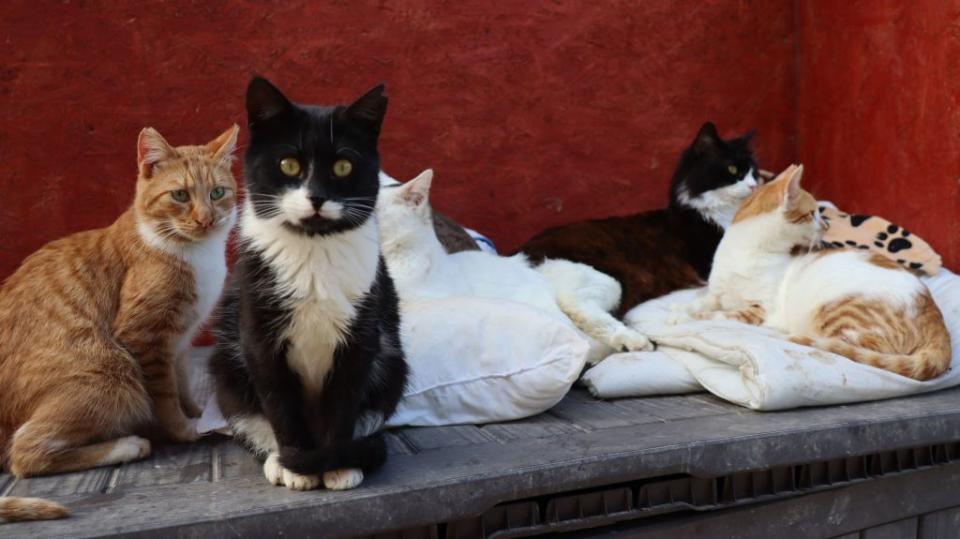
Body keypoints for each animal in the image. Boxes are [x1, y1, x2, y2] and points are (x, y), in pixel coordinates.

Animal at [0, 124, 239, 520]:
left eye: (217, 193)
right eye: (179, 195)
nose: (206, 219)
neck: (194, 252)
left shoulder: (180, 341)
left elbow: (183, 383)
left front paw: (197, 412)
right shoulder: (145, 337)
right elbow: (165, 394)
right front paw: (184, 429)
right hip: (111, 371)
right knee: (25, 452)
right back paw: (127, 445)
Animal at [208, 77, 406, 494]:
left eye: (344, 166)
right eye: (288, 164)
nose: (316, 197)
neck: (313, 251)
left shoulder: (362, 337)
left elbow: (344, 401)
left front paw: (337, 464)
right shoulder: (258, 336)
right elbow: (279, 404)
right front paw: (297, 465)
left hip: (393, 363)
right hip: (225, 368)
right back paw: (278, 460)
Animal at [688, 166, 948, 384]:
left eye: (819, 213)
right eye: (813, 213)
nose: (825, 226)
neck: (746, 252)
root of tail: (936, 318)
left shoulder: (759, 310)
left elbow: (718, 316)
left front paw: (691, 319)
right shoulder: (715, 293)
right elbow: (699, 303)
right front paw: (685, 311)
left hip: (840, 313)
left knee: (856, 347)